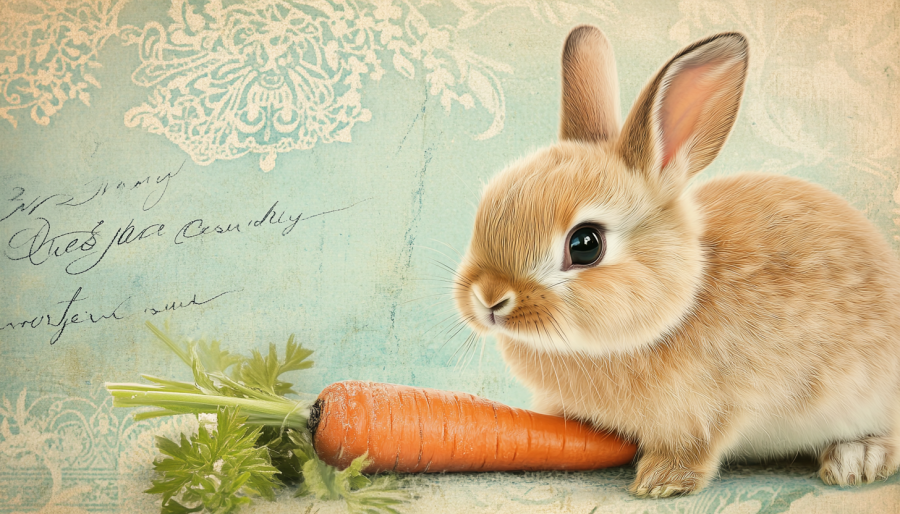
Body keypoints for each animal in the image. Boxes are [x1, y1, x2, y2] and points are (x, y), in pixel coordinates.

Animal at [452, 25, 900, 497]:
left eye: (586, 244)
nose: (489, 298)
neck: (677, 307)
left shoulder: (723, 407)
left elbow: (699, 445)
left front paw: (660, 482)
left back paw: (856, 461)